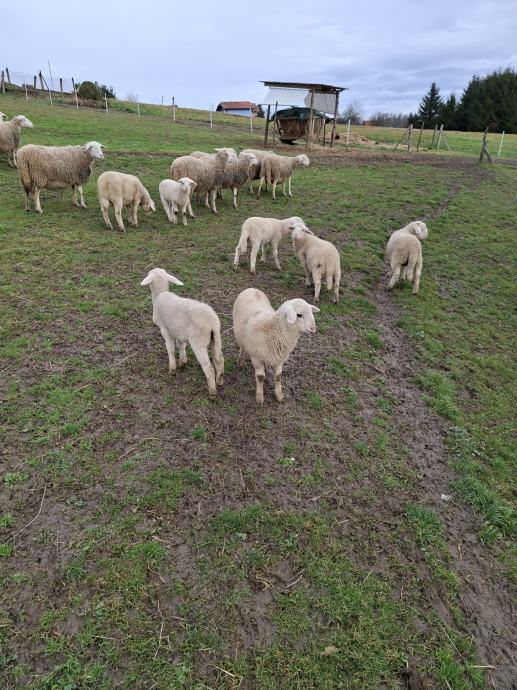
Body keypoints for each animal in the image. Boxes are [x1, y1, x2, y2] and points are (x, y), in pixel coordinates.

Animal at [141, 268, 224, 398]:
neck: (159, 293)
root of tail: (212, 323)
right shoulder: (178, 331)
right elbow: (181, 345)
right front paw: (183, 362)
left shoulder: (164, 329)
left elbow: (170, 348)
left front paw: (172, 368)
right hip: (215, 338)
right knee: (219, 360)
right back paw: (219, 381)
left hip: (198, 342)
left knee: (208, 367)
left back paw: (212, 391)